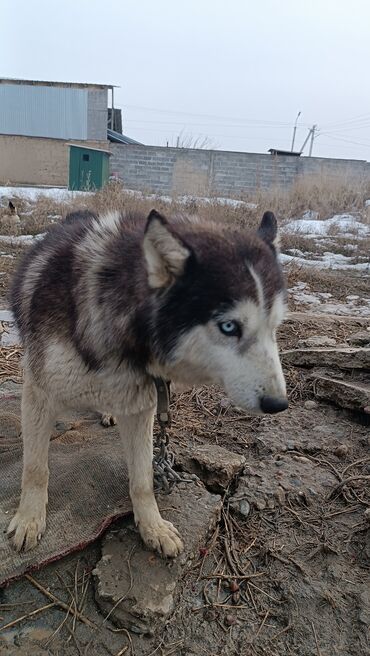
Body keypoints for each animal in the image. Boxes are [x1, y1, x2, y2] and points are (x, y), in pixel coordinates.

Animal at [7, 208, 288, 556]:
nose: (278, 404)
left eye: (275, 327)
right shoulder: (39, 394)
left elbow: (141, 479)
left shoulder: (141, 407)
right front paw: (29, 519)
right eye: (228, 326)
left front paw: (153, 527)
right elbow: (35, 469)